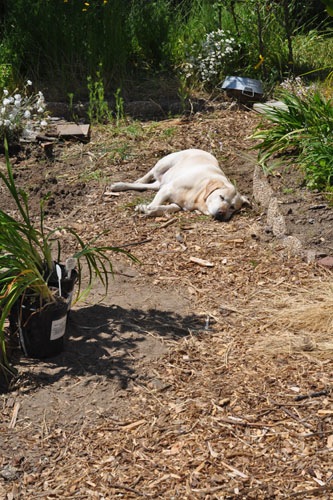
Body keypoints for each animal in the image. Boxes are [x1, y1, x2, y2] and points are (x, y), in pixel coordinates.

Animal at [109, 147, 249, 220]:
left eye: (232, 207)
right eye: (221, 197)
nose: (221, 213)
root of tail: (200, 149)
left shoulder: (177, 204)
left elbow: (166, 208)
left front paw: (149, 209)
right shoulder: (167, 189)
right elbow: (155, 203)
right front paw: (146, 208)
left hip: (160, 183)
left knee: (148, 185)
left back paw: (119, 186)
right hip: (164, 164)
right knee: (151, 172)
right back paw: (138, 180)